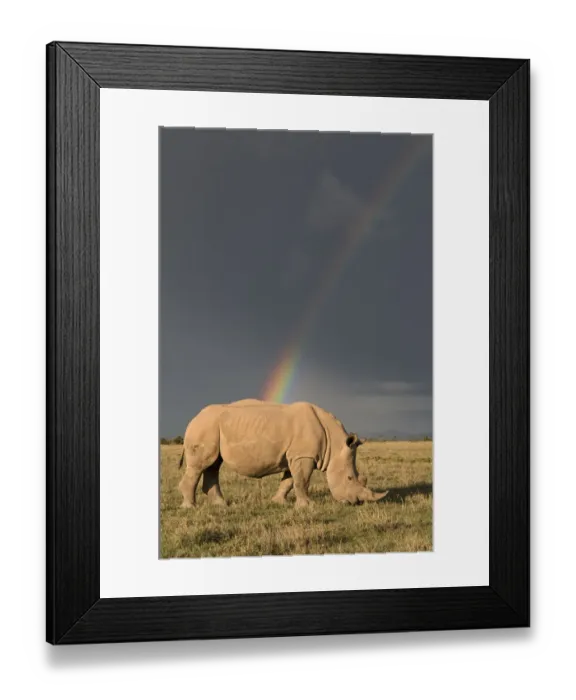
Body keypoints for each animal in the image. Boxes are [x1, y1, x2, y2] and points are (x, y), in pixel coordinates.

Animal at [177, 398, 388, 508]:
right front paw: (307, 506)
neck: (334, 444)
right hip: (204, 427)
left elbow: (289, 481)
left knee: (213, 465)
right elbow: (302, 481)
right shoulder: (304, 455)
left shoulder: (295, 455)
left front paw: (279, 502)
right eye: (350, 478)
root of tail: (192, 419)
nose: (356, 502)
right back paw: (191, 507)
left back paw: (221, 505)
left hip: (211, 428)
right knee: (200, 466)